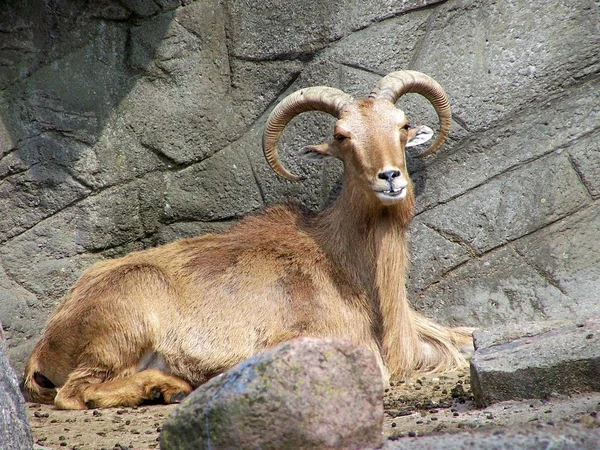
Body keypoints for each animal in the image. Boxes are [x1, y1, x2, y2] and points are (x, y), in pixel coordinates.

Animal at [23, 69, 474, 408]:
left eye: (402, 125)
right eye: (342, 136)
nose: (390, 177)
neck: (346, 265)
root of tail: (45, 344)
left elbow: (464, 340)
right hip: (125, 321)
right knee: (75, 392)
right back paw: (169, 386)